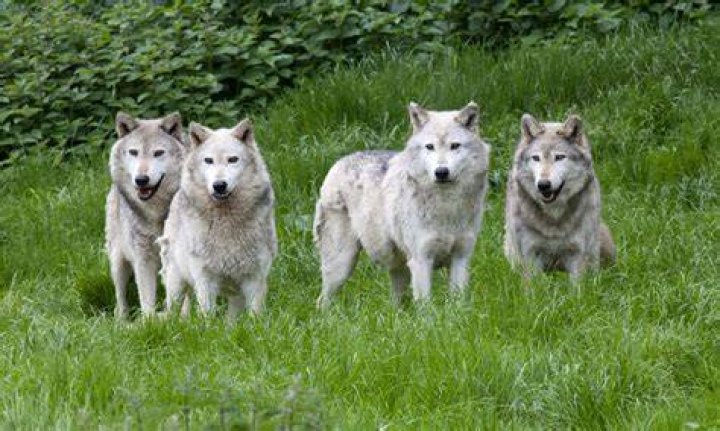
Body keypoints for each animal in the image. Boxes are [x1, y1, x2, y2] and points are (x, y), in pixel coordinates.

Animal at [105, 111, 186, 319]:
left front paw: (185, 319)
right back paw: (122, 320)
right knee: (120, 298)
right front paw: (149, 323)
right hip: (117, 262)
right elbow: (147, 299)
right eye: (134, 152)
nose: (141, 180)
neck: (157, 214)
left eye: (158, 153)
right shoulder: (143, 259)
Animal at [159, 119, 277, 319]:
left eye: (233, 160)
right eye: (209, 161)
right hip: (176, 284)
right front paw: (208, 327)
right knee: (172, 311)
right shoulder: (205, 279)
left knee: (232, 320)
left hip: (235, 295)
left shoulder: (255, 278)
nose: (219, 185)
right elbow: (207, 315)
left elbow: (255, 315)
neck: (226, 220)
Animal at [314, 102, 490, 308]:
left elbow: (458, 303)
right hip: (341, 265)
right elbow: (425, 306)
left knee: (395, 304)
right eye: (430, 147)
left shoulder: (460, 258)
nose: (441, 172)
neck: (447, 206)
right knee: (322, 301)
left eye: (455, 146)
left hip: (399, 269)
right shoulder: (421, 261)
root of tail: (338, 163)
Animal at [504, 114, 616, 282]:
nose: (543, 185)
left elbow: (578, 286)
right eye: (536, 158)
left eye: (559, 157)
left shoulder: (577, 254)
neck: (554, 216)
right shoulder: (530, 254)